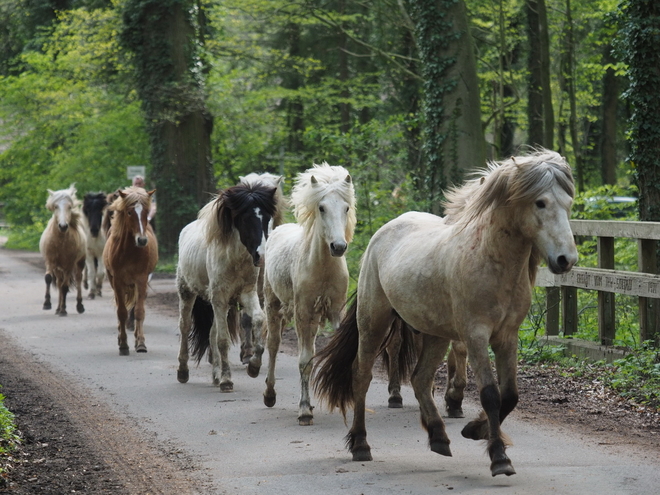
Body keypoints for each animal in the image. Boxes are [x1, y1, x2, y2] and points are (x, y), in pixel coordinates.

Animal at [38, 186, 87, 318]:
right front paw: (47, 304)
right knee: (59, 282)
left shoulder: (69, 264)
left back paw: (79, 306)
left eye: (69, 207)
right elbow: (48, 279)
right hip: (59, 267)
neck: (60, 241)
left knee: (78, 279)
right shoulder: (50, 262)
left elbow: (65, 287)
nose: (63, 226)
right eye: (56, 206)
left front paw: (63, 310)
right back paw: (57, 308)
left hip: (79, 262)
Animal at [104, 187, 159, 356]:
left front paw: (140, 343)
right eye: (129, 212)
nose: (142, 240)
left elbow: (139, 311)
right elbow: (121, 312)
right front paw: (123, 344)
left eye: (146, 212)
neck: (129, 251)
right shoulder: (117, 281)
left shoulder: (141, 280)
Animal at [262, 163, 356, 426]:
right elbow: (304, 361)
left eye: (346, 207)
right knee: (273, 345)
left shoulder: (335, 312)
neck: (322, 268)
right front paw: (304, 410)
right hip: (274, 306)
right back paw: (270, 394)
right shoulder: (302, 314)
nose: (338, 247)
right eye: (321, 208)